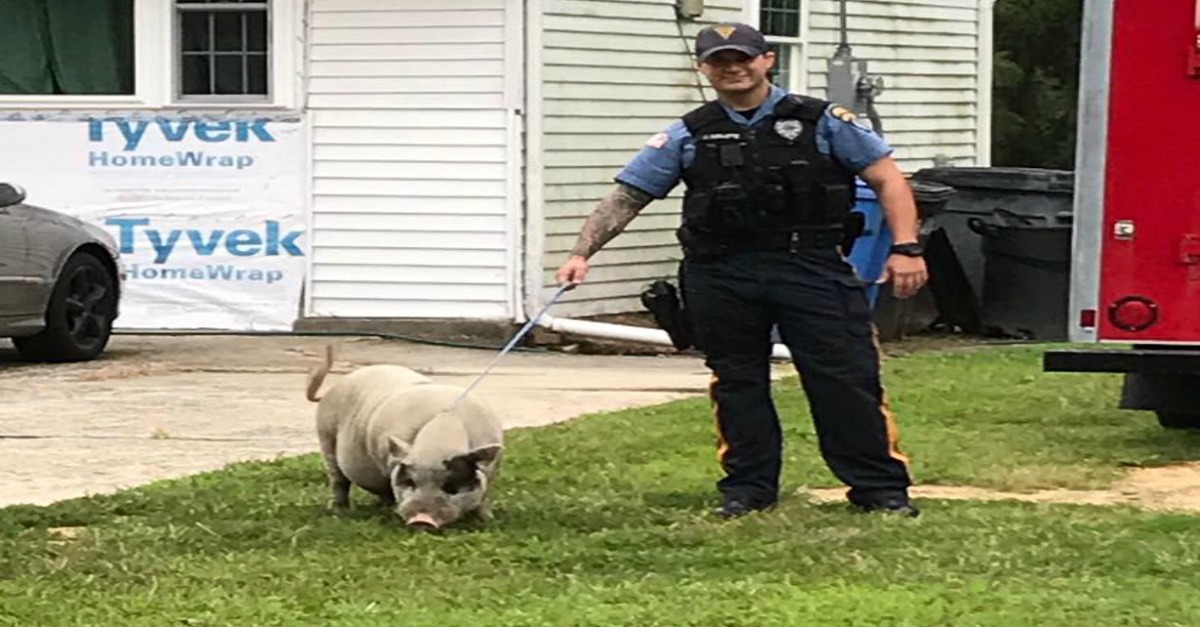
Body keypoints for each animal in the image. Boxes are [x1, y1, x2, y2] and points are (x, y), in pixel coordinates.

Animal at [304, 345, 504, 531]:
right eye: (410, 482)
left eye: (450, 487)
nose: (422, 520)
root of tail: (330, 391)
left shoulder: (491, 470)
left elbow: (485, 496)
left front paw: (487, 520)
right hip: (326, 436)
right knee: (338, 480)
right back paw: (340, 510)